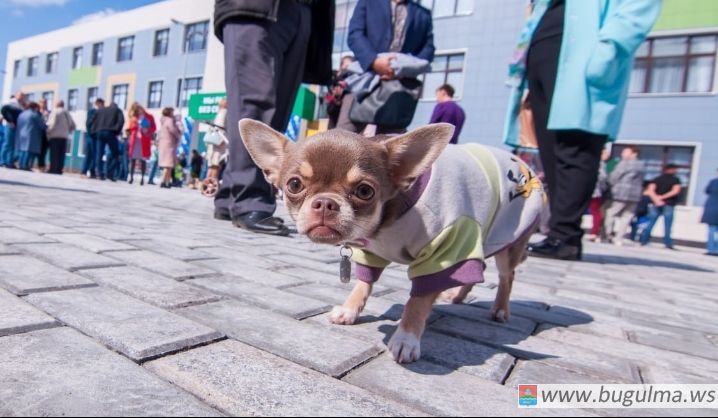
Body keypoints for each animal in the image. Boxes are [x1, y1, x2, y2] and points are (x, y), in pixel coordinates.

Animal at [242, 118, 544, 362]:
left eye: (365, 191)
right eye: (294, 185)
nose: (326, 203)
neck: (384, 223)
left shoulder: (444, 251)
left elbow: (417, 302)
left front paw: (406, 339)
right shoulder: (372, 252)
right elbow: (363, 283)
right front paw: (350, 310)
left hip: (507, 241)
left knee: (506, 276)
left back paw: (500, 309)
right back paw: (457, 296)